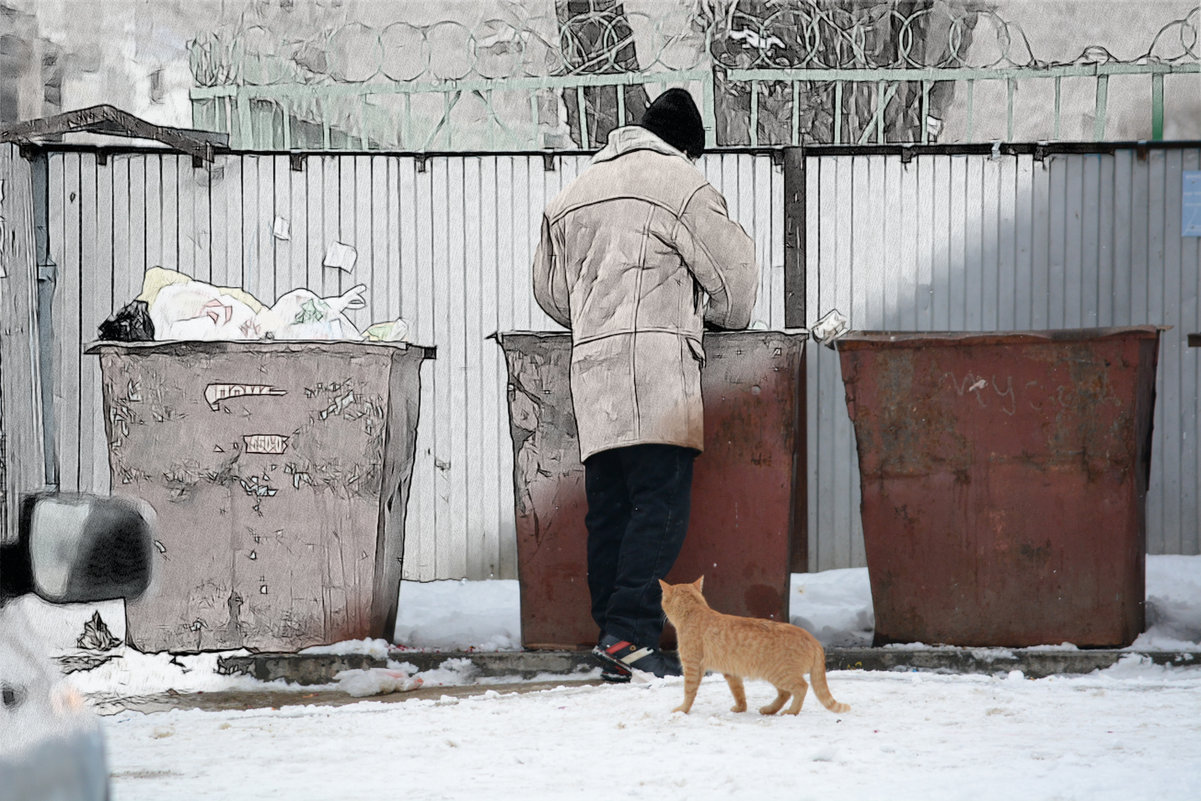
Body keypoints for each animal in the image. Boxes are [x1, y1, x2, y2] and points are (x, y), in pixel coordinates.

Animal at [662, 578, 850, 715]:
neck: (694, 611)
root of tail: (813, 639)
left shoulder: (692, 666)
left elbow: (689, 691)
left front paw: (683, 710)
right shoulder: (731, 672)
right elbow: (738, 692)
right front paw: (741, 708)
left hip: (780, 674)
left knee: (801, 687)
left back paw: (791, 711)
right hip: (776, 675)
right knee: (785, 693)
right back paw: (770, 709)